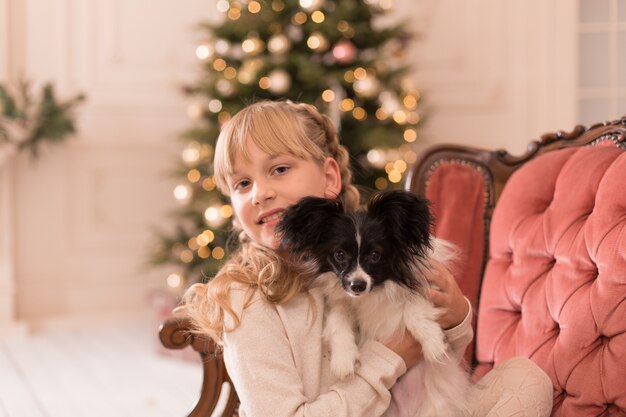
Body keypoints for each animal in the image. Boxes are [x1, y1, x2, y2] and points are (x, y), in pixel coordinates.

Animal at [276, 189, 468, 416]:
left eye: (375, 255)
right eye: (339, 254)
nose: (357, 285)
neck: (377, 290)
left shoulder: (428, 284)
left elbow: (414, 306)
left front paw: (433, 342)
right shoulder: (343, 299)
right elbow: (338, 317)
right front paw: (343, 358)